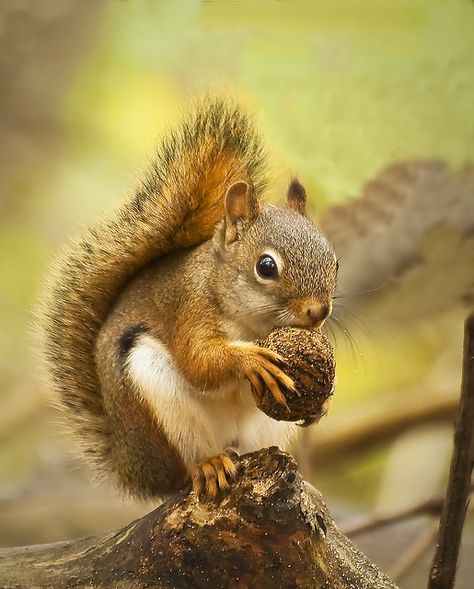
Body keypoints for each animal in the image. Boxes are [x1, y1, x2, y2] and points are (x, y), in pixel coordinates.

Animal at [40, 97, 336, 500]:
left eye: (334, 260)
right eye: (266, 266)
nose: (318, 311)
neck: (254, 324)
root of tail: (134, 468)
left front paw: (324, 400)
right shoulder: (190, 307)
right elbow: (199, 361)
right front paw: (250, 360)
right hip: (154, 392)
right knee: (186, 465)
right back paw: (207, 464)